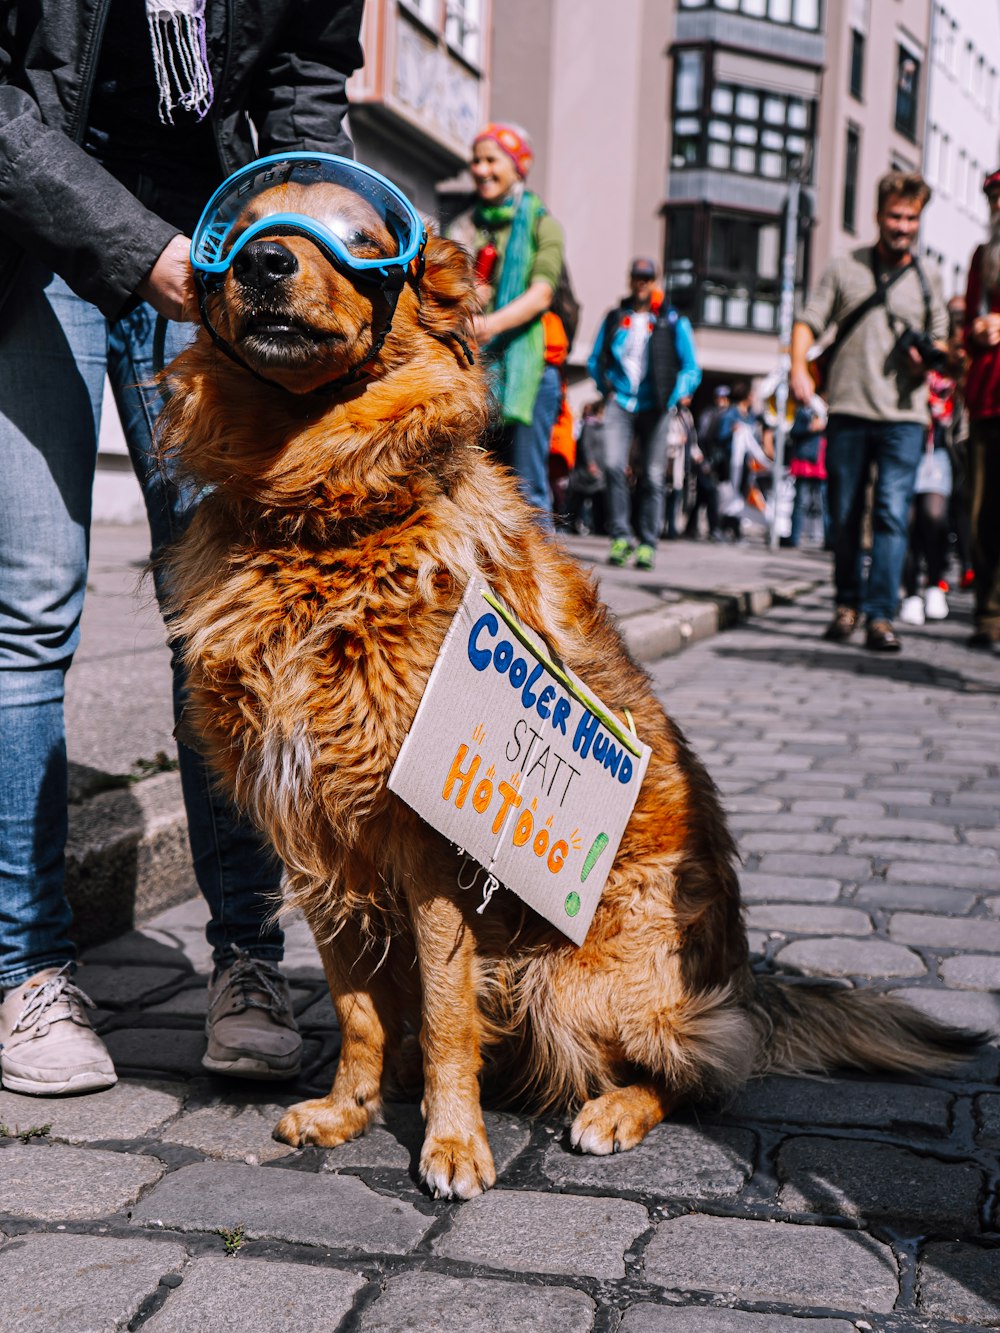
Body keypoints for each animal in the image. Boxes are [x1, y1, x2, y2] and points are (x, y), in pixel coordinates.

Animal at [160, 177, 981, 1199]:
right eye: (237, 234)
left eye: (357, 237)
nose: (268, 263)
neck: (322, 514)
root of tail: (744, 976)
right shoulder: (314, 828)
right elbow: (358, 1008)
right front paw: (350, 1108)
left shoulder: (427, 834)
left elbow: (445, 1008)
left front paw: (452, 1141)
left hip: (580, 975)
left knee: (703, 1066)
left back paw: (614, 1110)